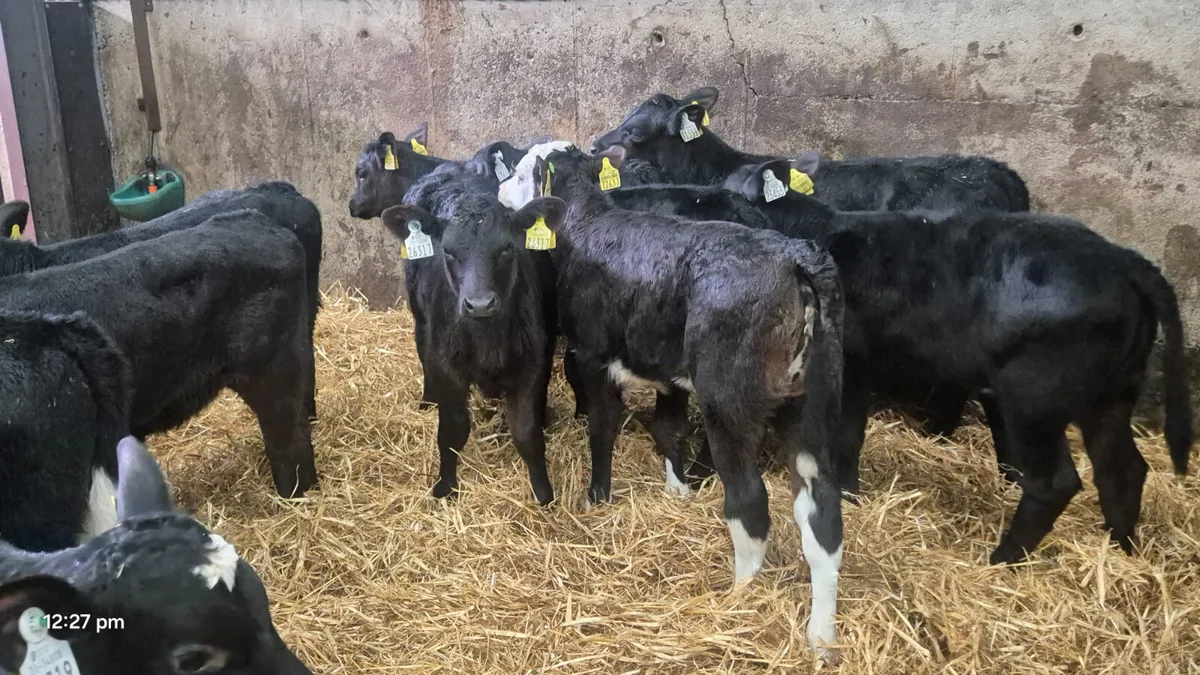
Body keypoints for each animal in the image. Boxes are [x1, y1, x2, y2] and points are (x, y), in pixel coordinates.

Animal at [497, 141, 847, 658]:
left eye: (522, 174)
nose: (500, 190)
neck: (588, 224)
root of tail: (795, 259)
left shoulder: (593, 355)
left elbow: (602, 427)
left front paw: (597, 498)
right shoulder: (666, 369)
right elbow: (668, 428)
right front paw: (674, 489)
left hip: (729, 402)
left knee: (750, 501)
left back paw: (738, 601)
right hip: (813, 405)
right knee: (822, 515)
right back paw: (820, 638)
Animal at [715, 159, 1192, 565]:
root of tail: (1125, 262)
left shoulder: (848, 367)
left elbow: (843, 437)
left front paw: (845, 493)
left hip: (1035, 399)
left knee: (1055, 481)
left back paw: (1003, 559)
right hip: (1112, 394)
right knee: (1122, 469)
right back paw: (1123, 551)